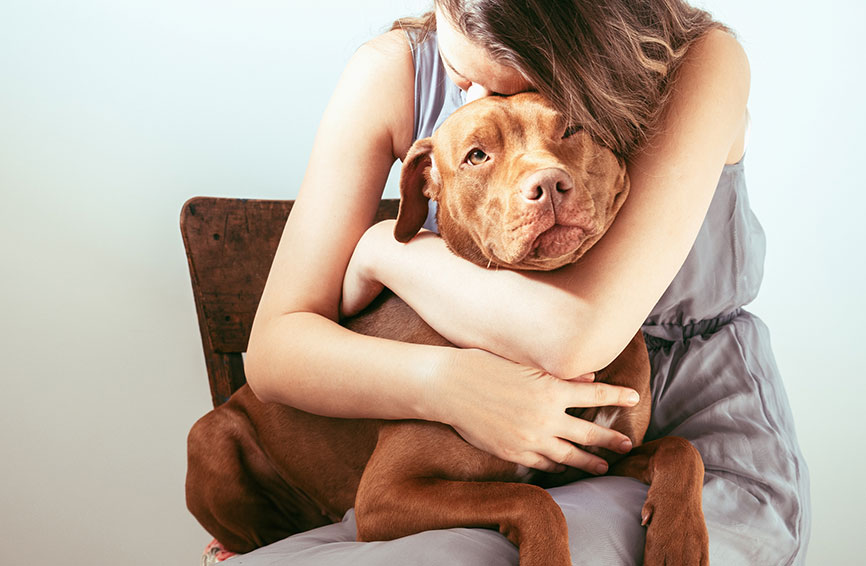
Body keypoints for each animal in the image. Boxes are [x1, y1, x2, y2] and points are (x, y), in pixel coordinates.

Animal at [186, 93, 704, 566]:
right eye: (477, 155)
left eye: (571, 129)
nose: (549, 183)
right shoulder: (385, 494)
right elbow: (528, 498)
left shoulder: (600, 457)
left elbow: (681, 449)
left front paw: (678, 540)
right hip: (210, 436)